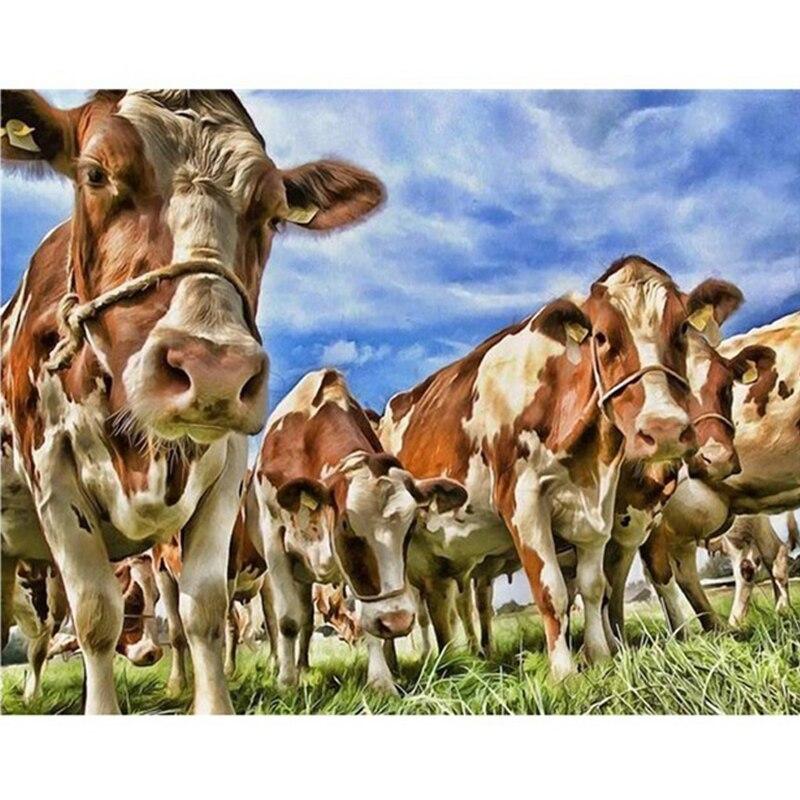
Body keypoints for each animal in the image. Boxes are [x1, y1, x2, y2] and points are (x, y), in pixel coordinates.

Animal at [1, 90, 385, 713]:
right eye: (95, 174)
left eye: (273, 213)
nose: (214, 370)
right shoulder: (51, 469)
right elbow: (96, 615)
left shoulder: (226, 467)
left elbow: (203, 611)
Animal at [254, 368, 467, 694]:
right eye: (346, 526)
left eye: (410, 528)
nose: (396, 622)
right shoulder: (274, 538)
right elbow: (288, 620)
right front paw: (286, 684)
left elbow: (365, 620)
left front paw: (381, 680)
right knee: (303, 619)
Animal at [380, 255, 744, 680]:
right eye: (600, 337)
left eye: (682, 328)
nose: (663, 430)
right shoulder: (522, 501)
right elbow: (552, 590)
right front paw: (565, 673)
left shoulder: (601, 508)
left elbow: (594, 586)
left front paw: (600, 656)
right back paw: (394, 675)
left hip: (441, 560)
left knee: (444, 605)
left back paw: (457, 663)